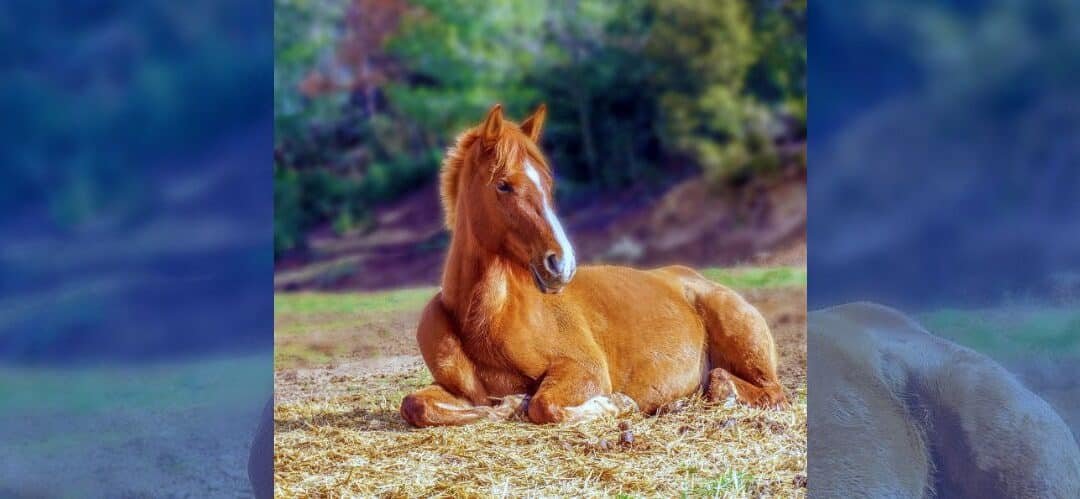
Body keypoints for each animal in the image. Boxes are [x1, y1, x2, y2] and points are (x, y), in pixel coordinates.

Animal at [399, 104, 787, 427]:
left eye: (547, 183)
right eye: (503, 185)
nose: (561, 263)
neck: (486, 318)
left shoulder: (583, 370)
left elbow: (544, 406)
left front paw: (616, 404)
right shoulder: (455, 390)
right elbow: (415, 404)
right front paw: (507, 404)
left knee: (763, 391)